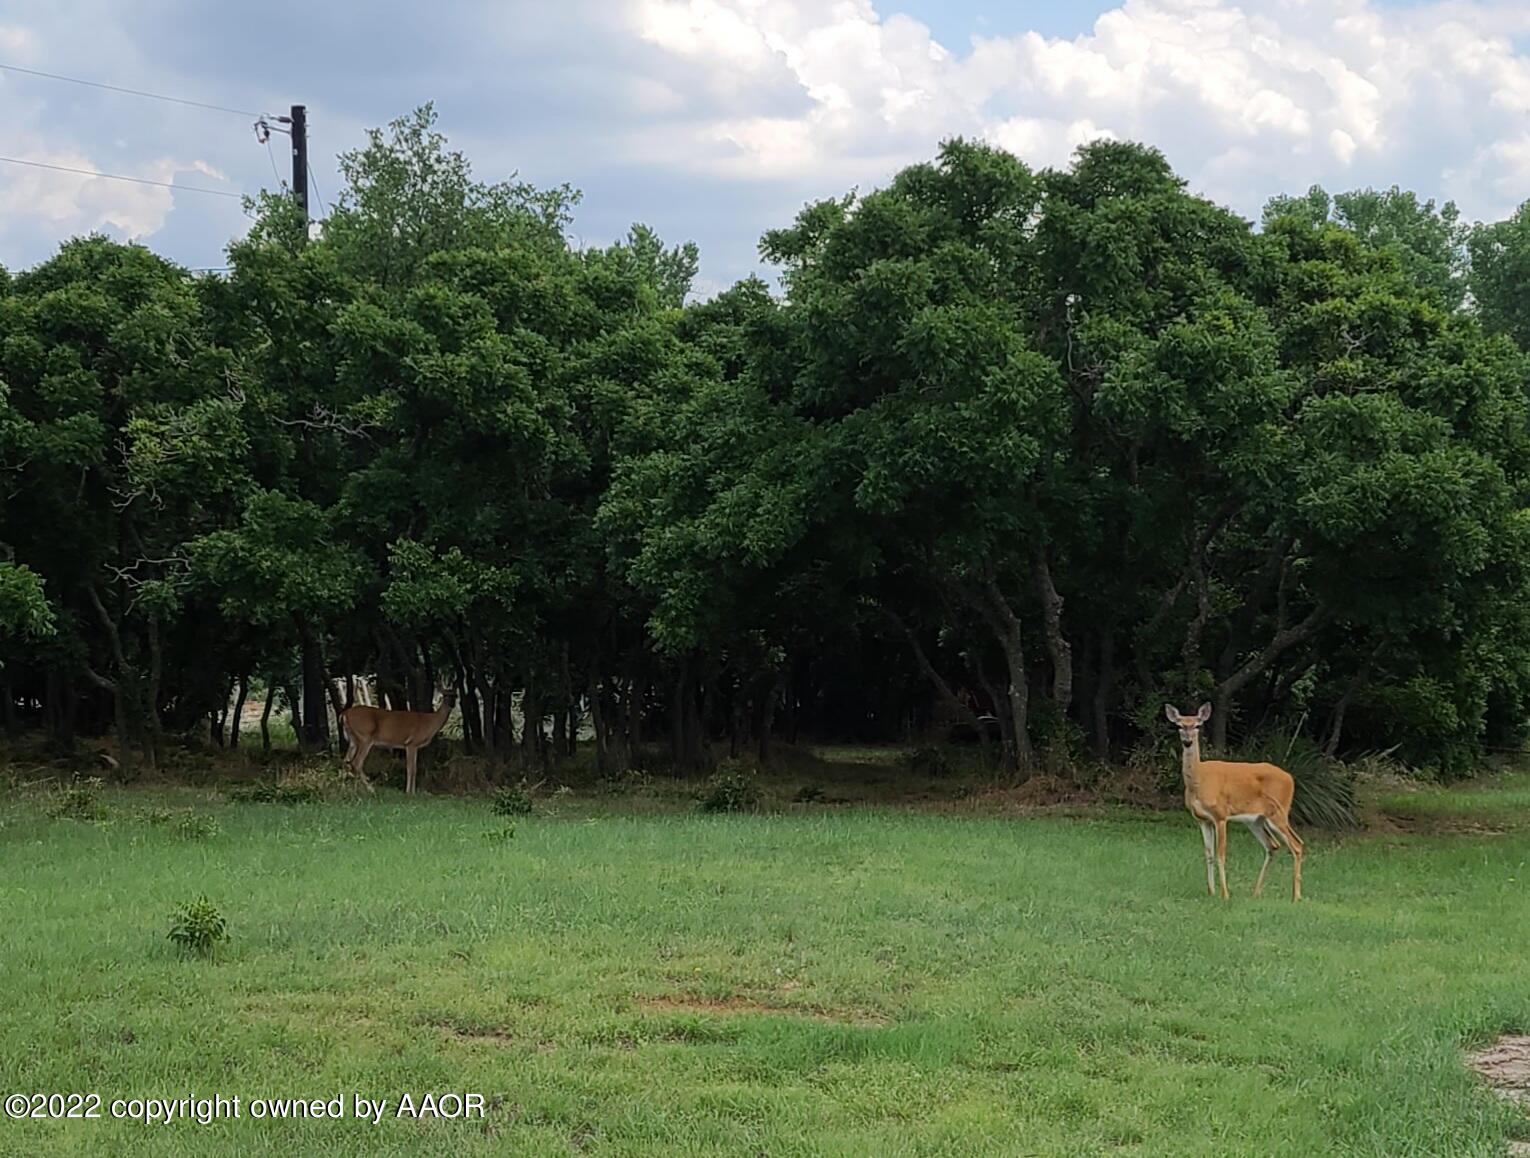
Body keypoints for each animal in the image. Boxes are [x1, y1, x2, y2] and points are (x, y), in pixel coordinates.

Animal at [1162, 700, 1309, 899]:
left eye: (1198, 725)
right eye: (1179, 725)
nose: (1188, 741)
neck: (1199, 781)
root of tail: (1291, 779)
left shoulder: (1221, 815)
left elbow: (1220, 854)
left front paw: (1225, 894)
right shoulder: (1202, 819)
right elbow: (1208, 854)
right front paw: (1211, 892)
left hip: (1279, 812)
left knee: (1297, 844)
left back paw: (1295, 896)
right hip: (1256, 820)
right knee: (1273, 845)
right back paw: (1256, 893)